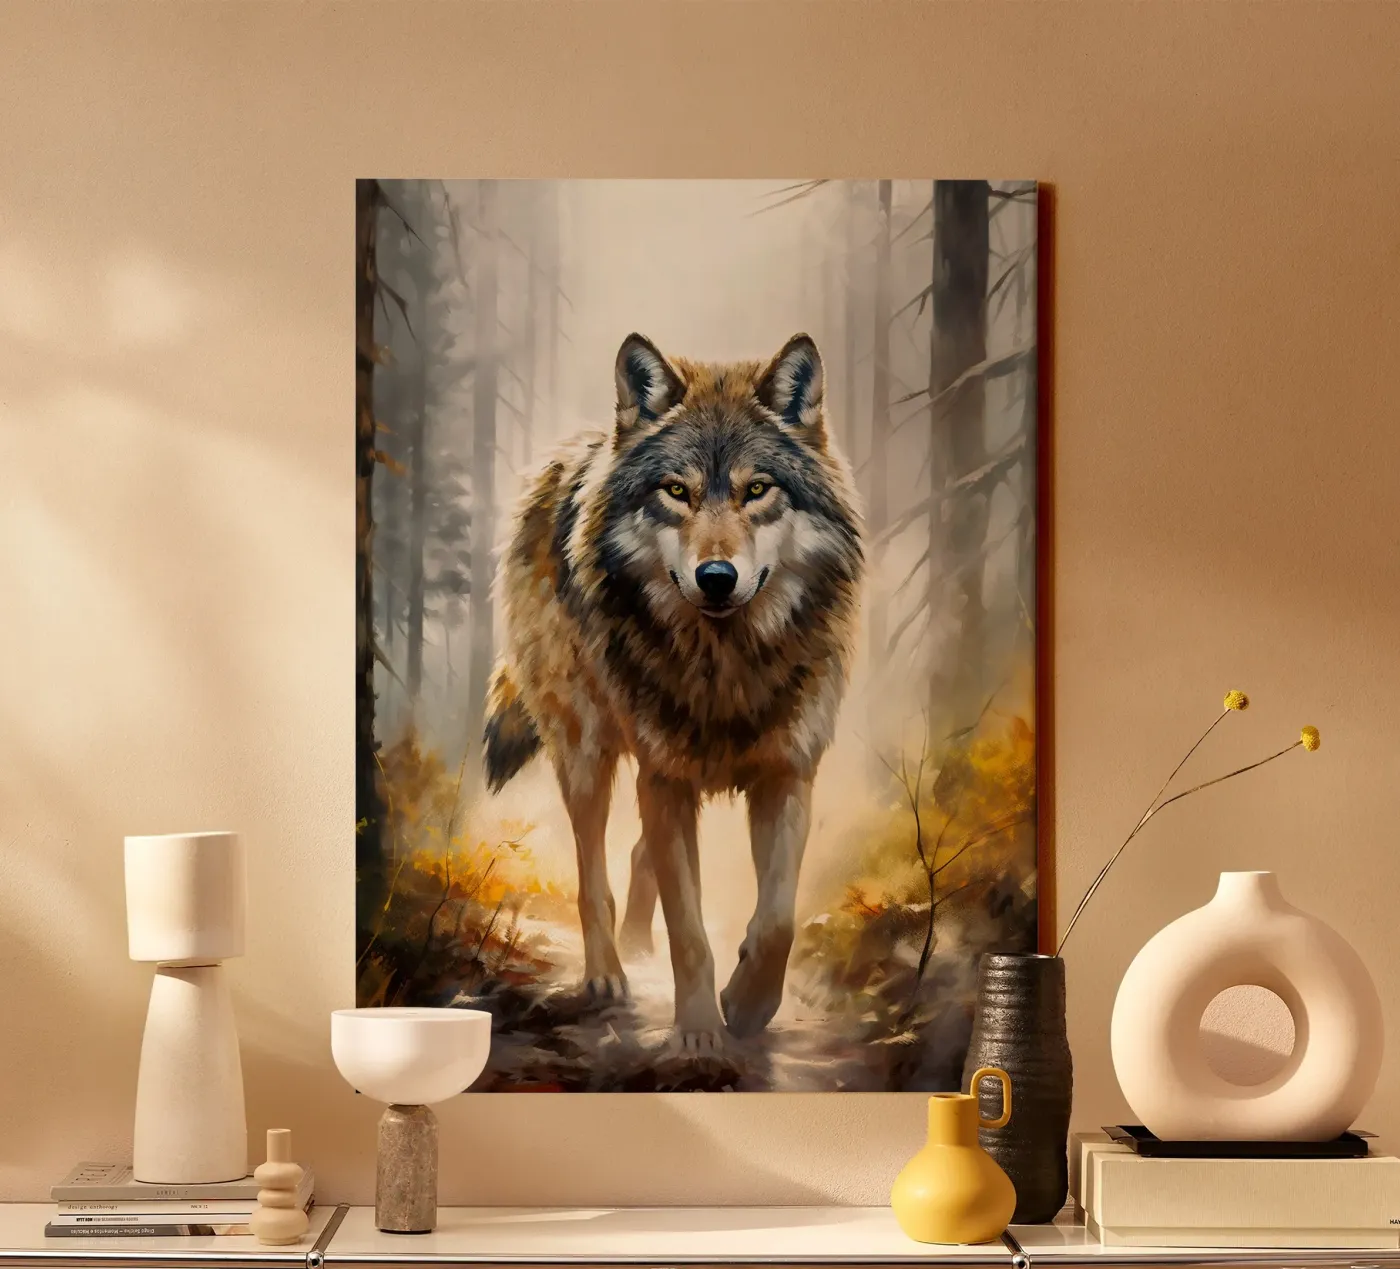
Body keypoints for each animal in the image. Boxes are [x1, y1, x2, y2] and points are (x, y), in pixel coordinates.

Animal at [483, 331, 863, 1053]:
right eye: (677, 491)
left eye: (757, 489)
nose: (716, 576)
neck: (725, 666)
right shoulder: (664, 778)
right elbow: (688, 929)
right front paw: (699, 1033)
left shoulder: (787, 773)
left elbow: (777, 922)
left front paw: (746, 1005)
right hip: (587, 752)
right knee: (594, 875)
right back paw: (608, 973)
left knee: (639, 856)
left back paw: (637, 945)